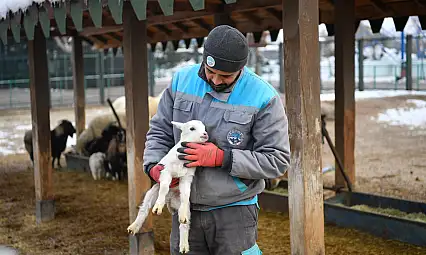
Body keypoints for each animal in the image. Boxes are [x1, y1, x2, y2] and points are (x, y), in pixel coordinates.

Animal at [127, 119, 209, 253]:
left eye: (204, 127)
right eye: (192, 128)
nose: (205, 134)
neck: (182, 160)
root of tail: (169, 200)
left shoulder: (187, 177)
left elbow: (185, 195)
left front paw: (183, 213)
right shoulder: (166, 171)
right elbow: (165, 187)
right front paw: (158, 207)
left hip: (181, 204)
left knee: (184, 224)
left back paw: (184, 244)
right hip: (153, 192)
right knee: (144, 209)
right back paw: (134, 226)